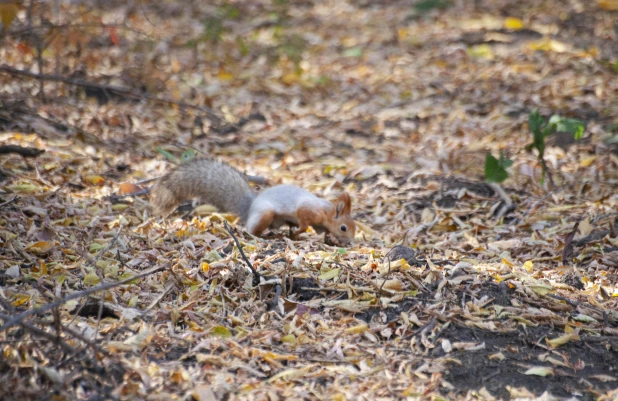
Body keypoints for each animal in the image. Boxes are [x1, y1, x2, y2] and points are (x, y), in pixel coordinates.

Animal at [146, 158, 354, 242]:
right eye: (344, 227)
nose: (351, 241)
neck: (325, 211)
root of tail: (251, 206)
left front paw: (330, 238)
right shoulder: (306, 210)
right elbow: (303, 222)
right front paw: (299, 231)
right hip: (265, 214)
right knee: (251, 230)